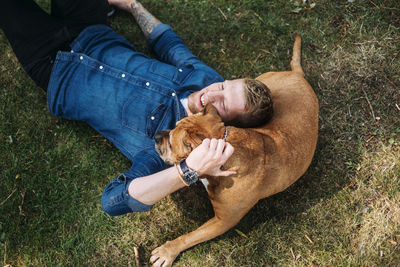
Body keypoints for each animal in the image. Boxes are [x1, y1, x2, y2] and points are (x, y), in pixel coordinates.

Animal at [150, 35, 318, 267]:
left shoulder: (222, 221)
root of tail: (297, 74)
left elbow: (190, 236)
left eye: (171, 141)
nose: (156, 135)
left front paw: (168, 251)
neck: (225, 143)